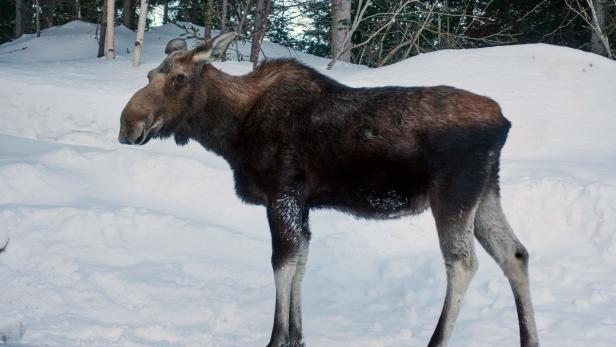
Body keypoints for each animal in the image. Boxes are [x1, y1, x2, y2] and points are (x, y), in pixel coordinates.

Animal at [119, 31, 540, 346]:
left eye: (180, 78)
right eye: (149, 75)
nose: (128, 125)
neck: (232, 131)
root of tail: (503, 122)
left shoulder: (282, 193)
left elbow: (282, 262)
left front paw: (278, 338)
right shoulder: (300, 203)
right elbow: (301, 261)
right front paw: (297, 337)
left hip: (453, 193)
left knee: (463, 263)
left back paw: (436, 340)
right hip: (485, 192)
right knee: (514, 253)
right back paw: (529, 339)